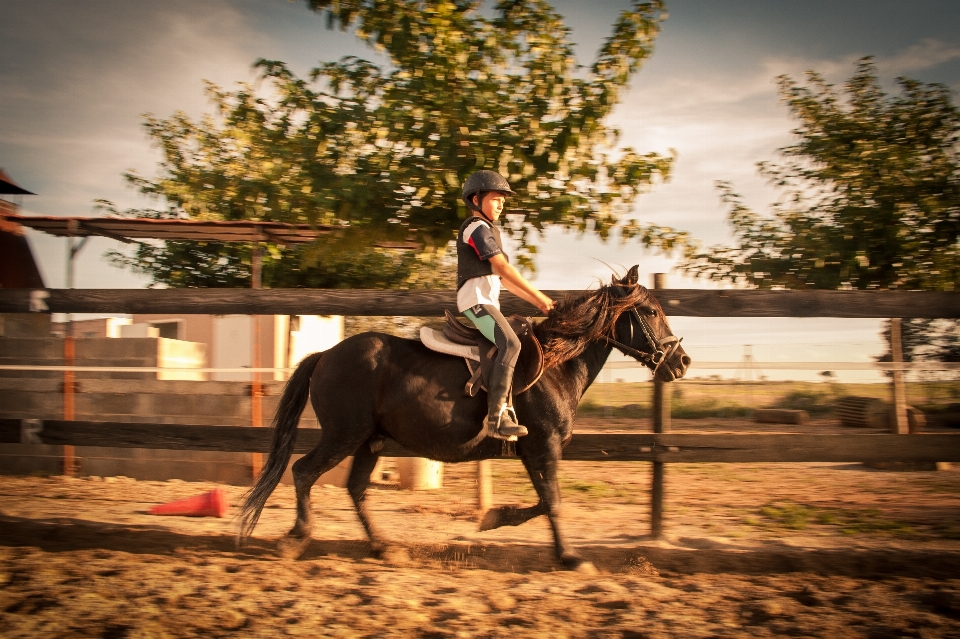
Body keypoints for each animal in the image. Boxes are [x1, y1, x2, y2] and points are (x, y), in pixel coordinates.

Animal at [240, 264, 688, 568]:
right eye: (650, 312)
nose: (681, 361)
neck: (555, 365)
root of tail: (324, 356)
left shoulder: (531, 452)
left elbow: (544, 502)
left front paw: (496, 518)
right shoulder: (543, 447)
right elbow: (554, 502)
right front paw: (570, 557)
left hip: (369, 441)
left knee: (357, 489)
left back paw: (385, 548)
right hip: (343, 435)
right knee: (303, 472)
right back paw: (297, 538)